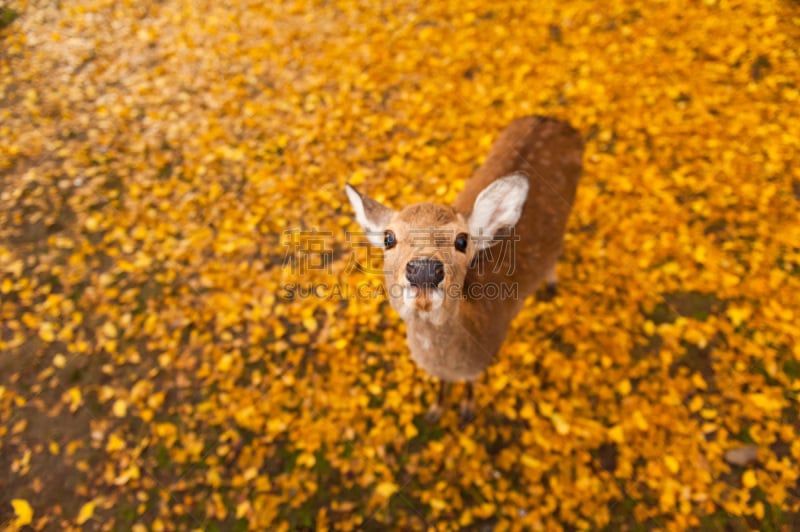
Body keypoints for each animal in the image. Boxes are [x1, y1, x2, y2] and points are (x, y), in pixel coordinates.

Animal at [344, 115, 580, 424]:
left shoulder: (486, 357)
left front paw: (467, 410)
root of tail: (557, 120)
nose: (424, 269)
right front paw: (435, 411)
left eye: (462, 240)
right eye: (388, 237)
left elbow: (472, 383)